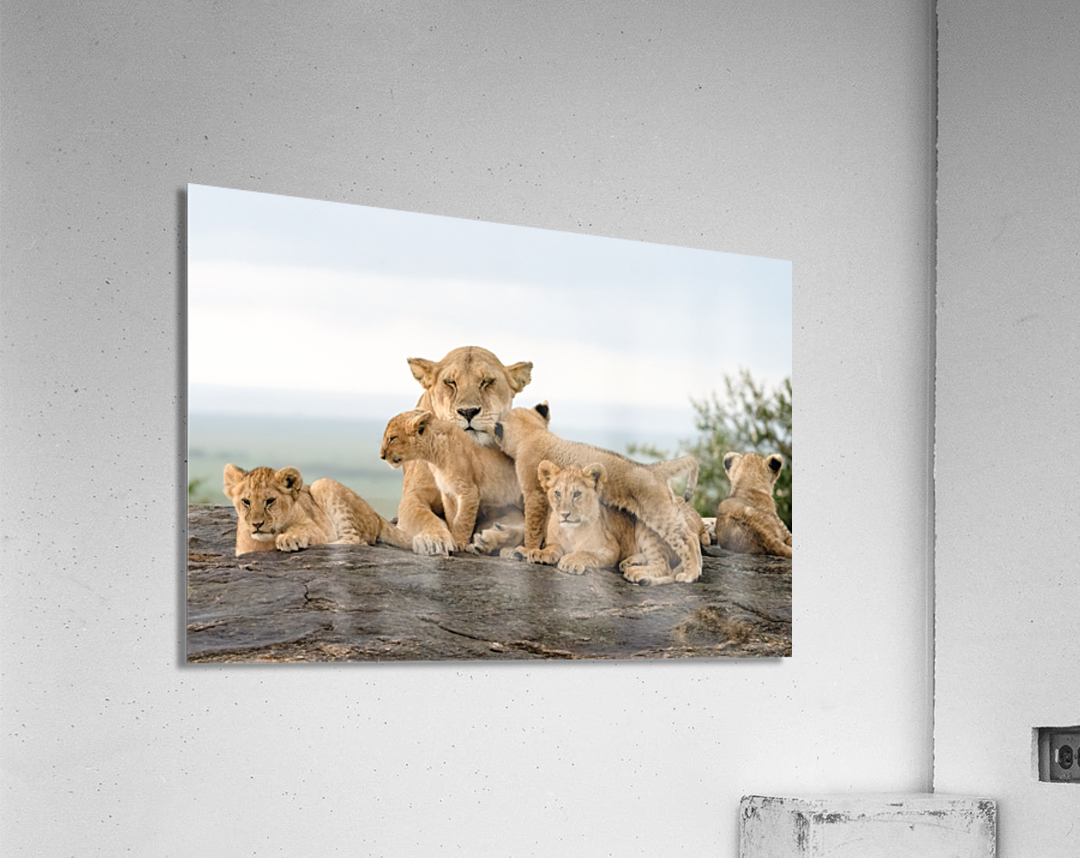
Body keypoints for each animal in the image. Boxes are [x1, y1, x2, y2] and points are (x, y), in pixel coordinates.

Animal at [223, 463, 411, 557]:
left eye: (270, 501)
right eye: (246, 502)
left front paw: (289, 538)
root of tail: (376, 515)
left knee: (356, 539)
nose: (257, 524)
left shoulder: (317, 528)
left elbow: (305, 530)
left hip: (322, 483)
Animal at [380, 409, 523, 553]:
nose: (381, 456)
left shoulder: (469, 491)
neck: (434, 456)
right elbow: (450, 517)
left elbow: (462, 520)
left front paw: (459, 543)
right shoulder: (447, 492)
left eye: (392, 438)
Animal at [395, 347, 533, 556]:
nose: (468, 412)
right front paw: (434, 539)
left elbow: (520, 525)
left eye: (487, 382)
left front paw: (490, 538)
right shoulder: (414, 494)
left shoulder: (497, 503)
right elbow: (423, 516)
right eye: (450, 383)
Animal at [494, 403, 704, 583]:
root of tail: (652, 469)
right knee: (689, 536)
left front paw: (525, 550)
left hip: (657, 512)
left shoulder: (534, 493)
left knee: (687, 539)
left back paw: (690, 574)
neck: (533, 432)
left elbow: (533, 527)